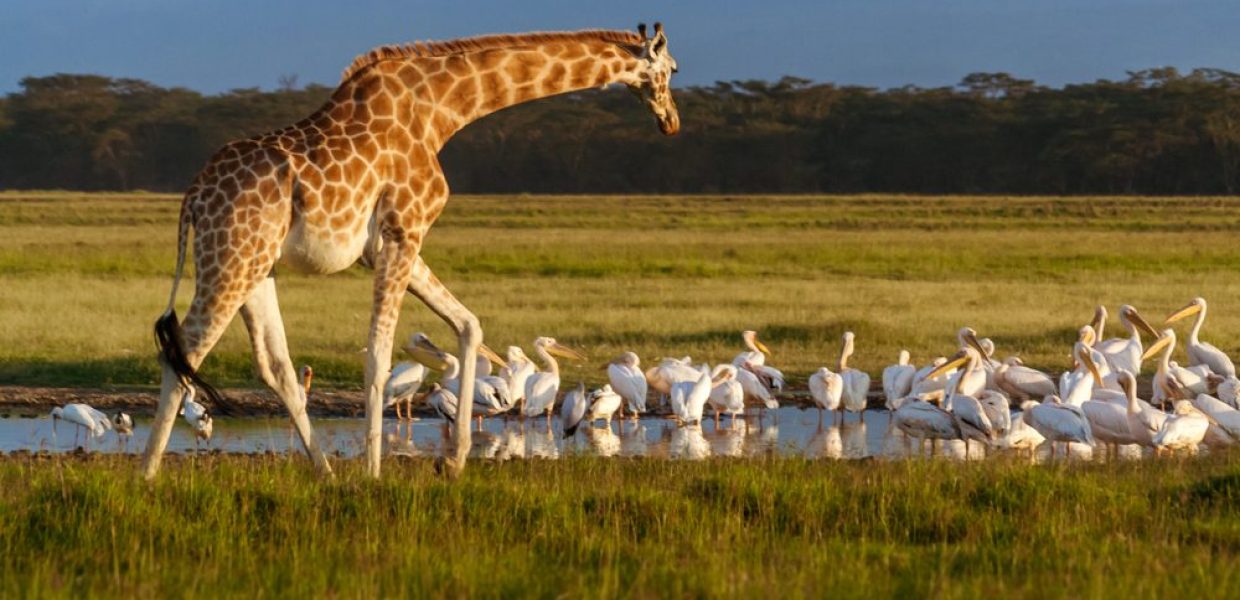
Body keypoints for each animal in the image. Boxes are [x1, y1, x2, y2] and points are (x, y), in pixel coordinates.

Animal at [142, 23, 680, 479]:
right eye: (673, 69)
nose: (671, 121)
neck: (443, 110)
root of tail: (193, 198)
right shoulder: (404, 231)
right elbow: (379, 356)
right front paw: (375, 472)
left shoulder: (391, 244)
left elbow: (469, 324)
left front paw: (454, 462)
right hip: (231, 260)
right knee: (184, 352)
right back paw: (147, 474)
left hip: (258, 268)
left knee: (275, 367)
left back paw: (326, 472)